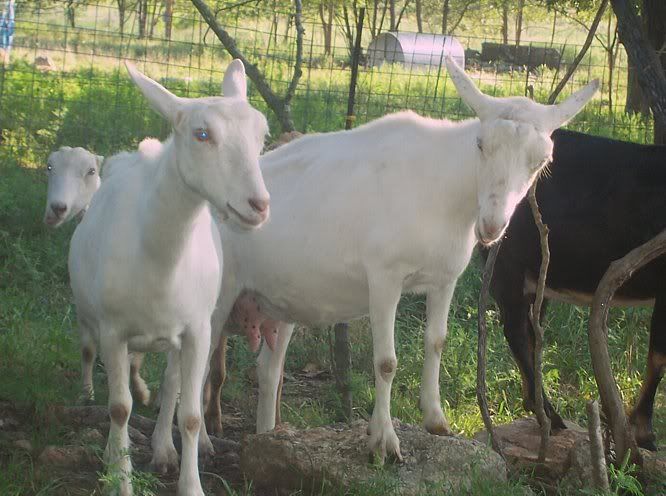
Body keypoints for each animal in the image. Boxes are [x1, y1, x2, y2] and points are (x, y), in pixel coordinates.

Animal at [68, 60, 269, 496]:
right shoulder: (113, 330)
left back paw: (163, 450)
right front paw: (120, 479)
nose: (258, 205)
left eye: (261, 135)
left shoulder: (197, 331)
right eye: (202, 134)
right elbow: (119, 407)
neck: (160, 258)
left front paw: (190, 483)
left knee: (171, 384)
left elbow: (189, 414)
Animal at [165, 57, 596, 463]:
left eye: (541, 161)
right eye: (480, 144)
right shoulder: (385, 277)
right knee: (194, 367)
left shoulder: (446, 278)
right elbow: (386, 361)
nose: (492, 224)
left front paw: (436, 421)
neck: (443, 190)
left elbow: (436, 341)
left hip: (277, 301)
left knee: (268, 369)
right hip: (217, 296)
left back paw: (267, 435)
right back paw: (197, 444)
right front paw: (384, 442)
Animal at [484, 129, 666, 451]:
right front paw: (645, 434)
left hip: (534, 277)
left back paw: (537, 406)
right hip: (508, 263)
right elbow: (659, 355)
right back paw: (550, 415)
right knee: (516, 332)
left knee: (531, 333)